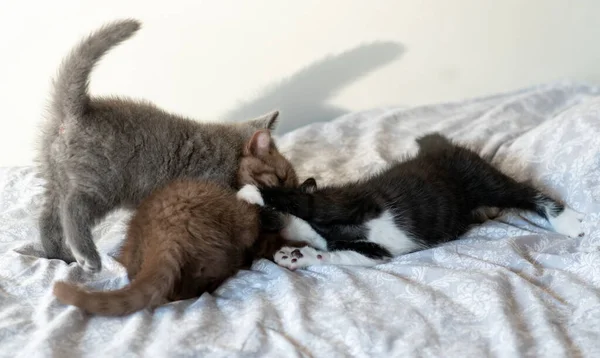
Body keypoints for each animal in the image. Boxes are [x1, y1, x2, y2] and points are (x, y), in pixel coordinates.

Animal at [37, 18, 288, 272]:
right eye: (277, 173)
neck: (231, 151)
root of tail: (78, 111)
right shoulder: (215, 180)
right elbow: (244, 208)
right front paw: (273, 218)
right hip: (103, 179)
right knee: (73, 207)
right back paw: (86, 256)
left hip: (57, 177)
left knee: (48, 219)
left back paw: (59, 256)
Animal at [237, 133, 584, 270]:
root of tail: (441, 147)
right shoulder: (375, 251)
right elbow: (342, 256)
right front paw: (297, 256)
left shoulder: (347, 201)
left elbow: (304, 203)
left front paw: (253, 193)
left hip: (480, 177)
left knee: (525, 192)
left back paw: (567, 221)